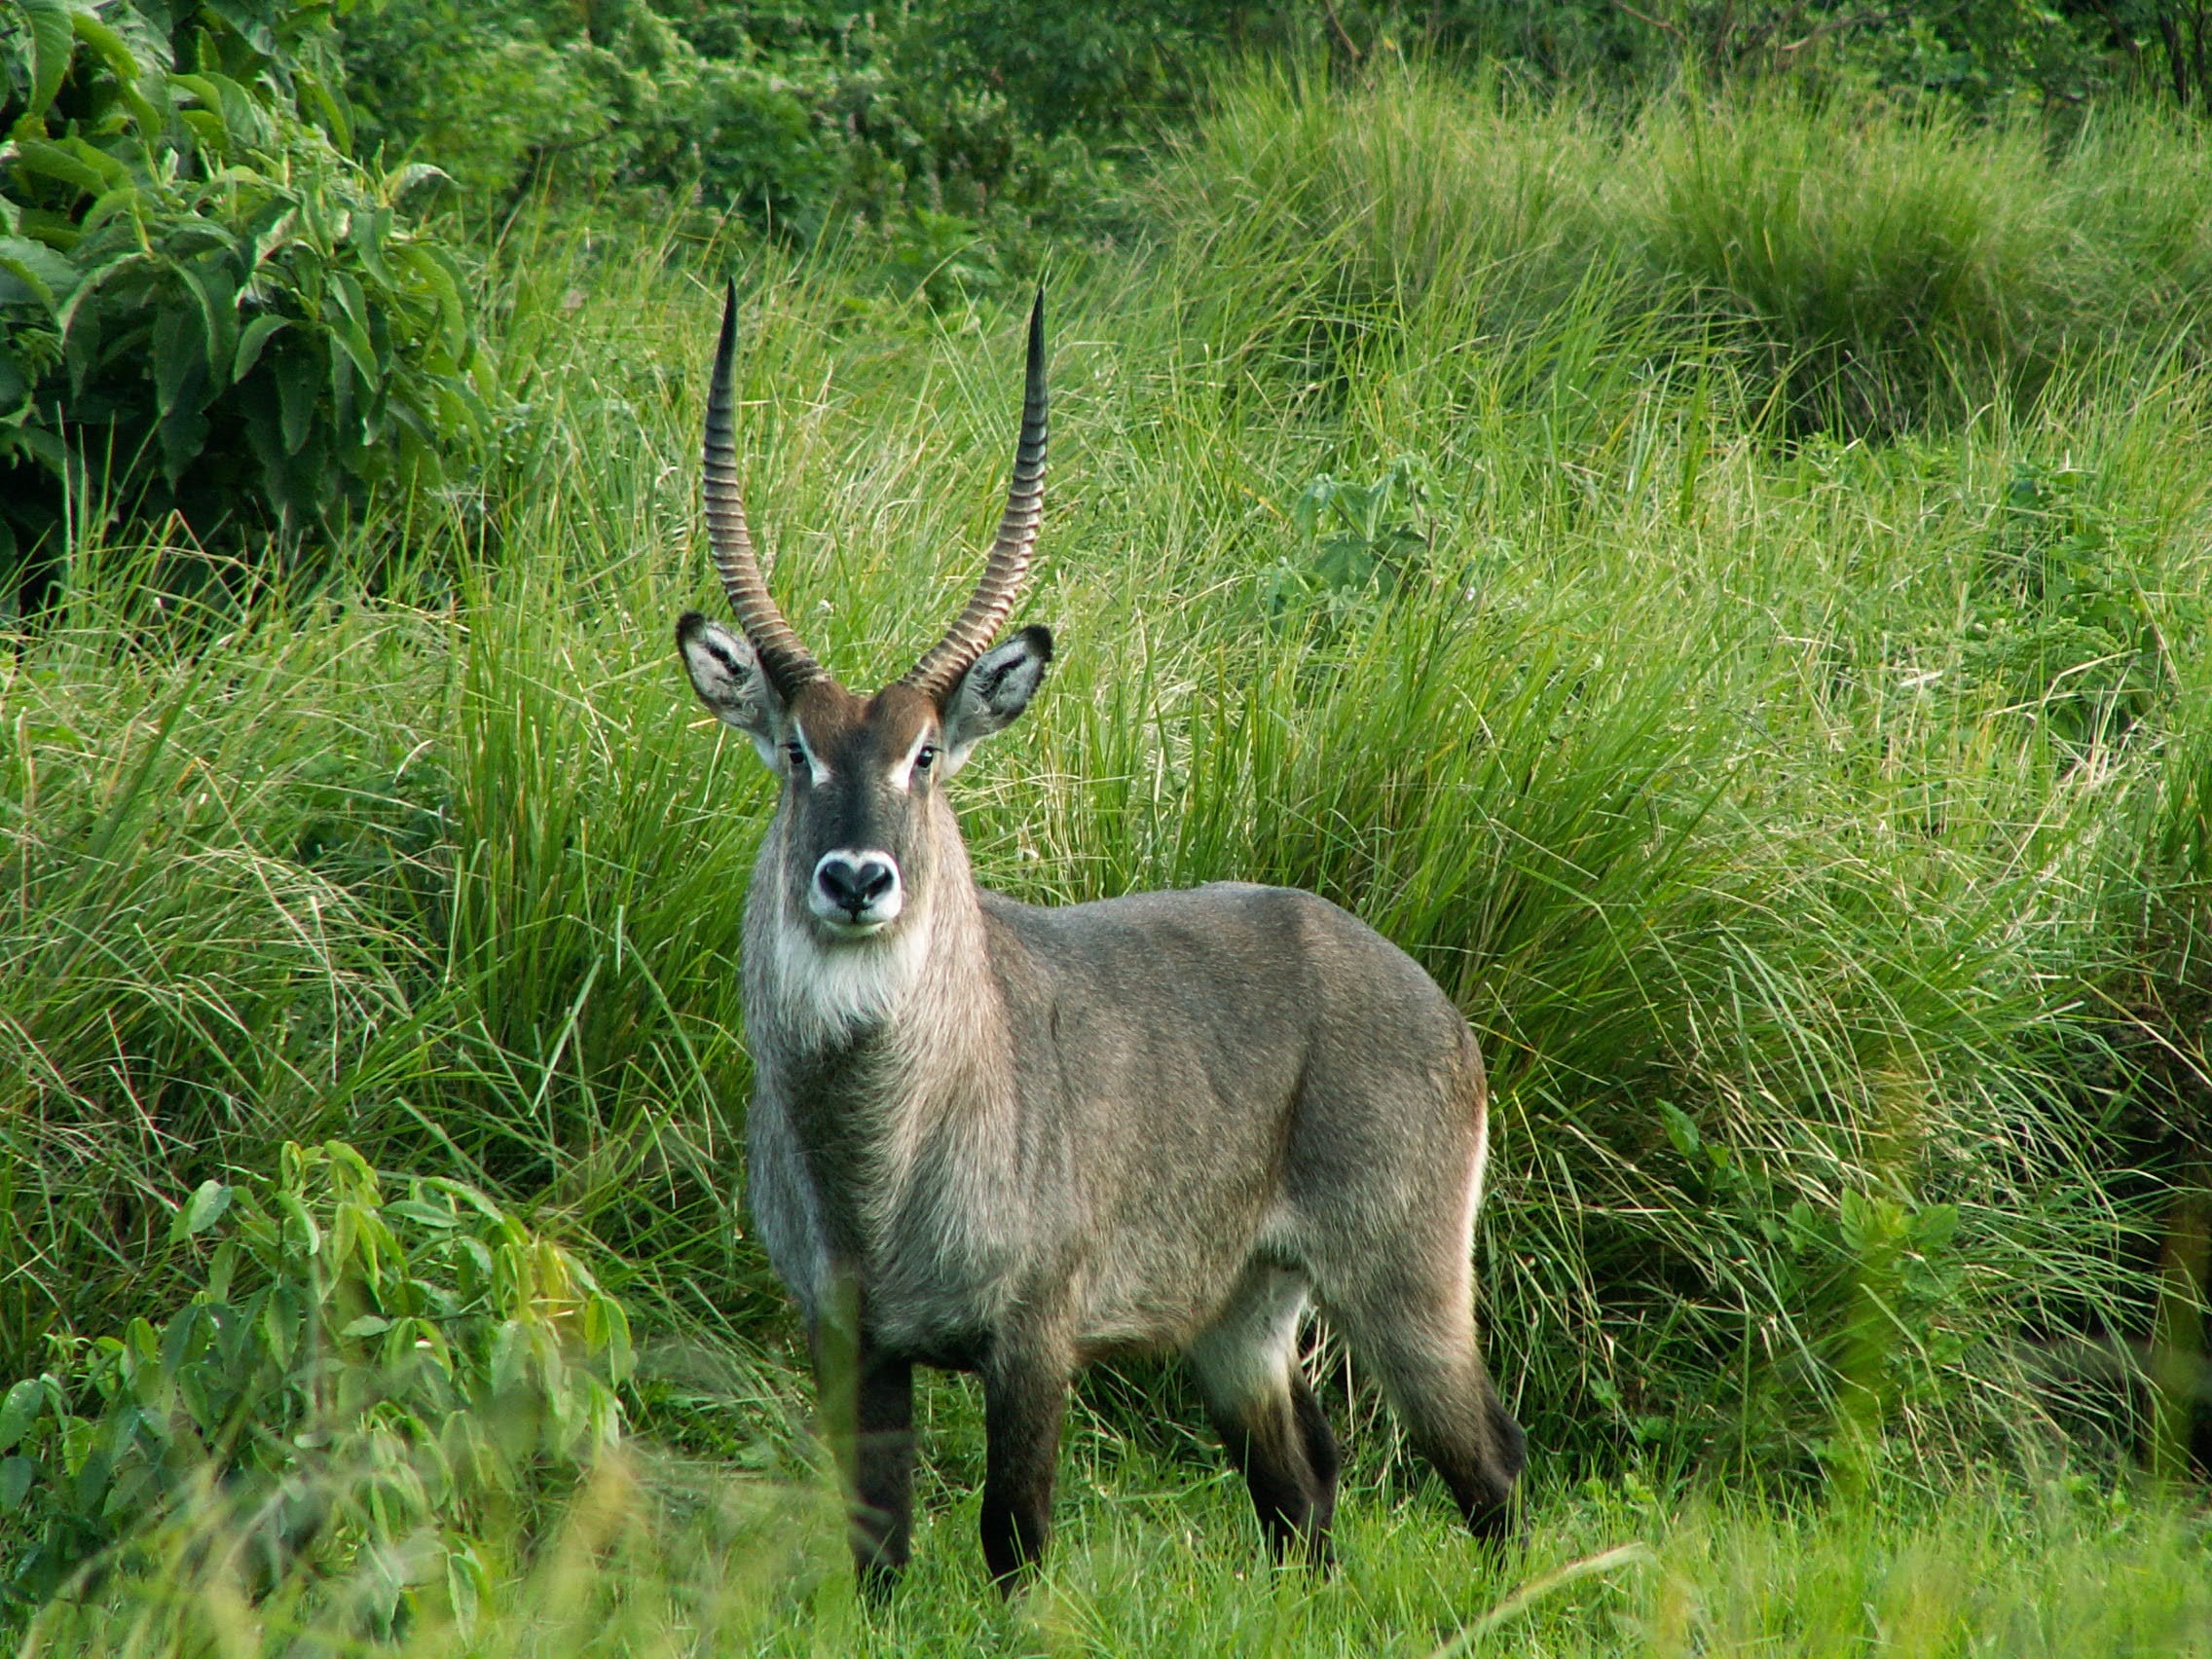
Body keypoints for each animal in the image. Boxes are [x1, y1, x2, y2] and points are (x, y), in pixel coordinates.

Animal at [674, 283, 1524, 1593]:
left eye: (926, 754)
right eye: (797, 751)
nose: (857, 879)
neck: (881, 1152)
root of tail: (1415, 986)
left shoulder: (1036, 1337)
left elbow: (1012, 1536)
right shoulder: (849, 1339)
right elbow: (877, 1545)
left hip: (1405, 1285)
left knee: (1487, 1465)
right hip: (1242, 1316)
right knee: (1303, 1486)